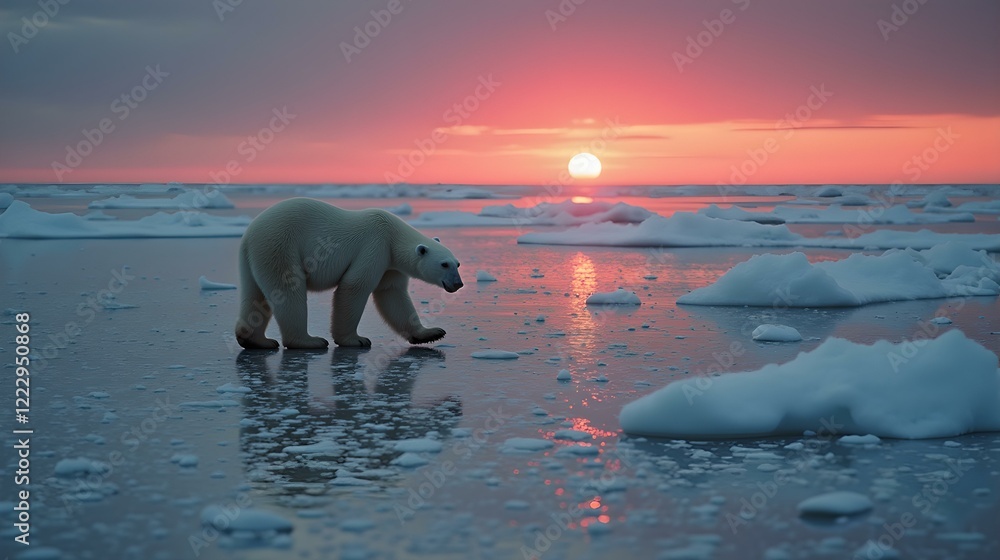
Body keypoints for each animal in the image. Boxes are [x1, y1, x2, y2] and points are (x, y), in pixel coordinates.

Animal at [234, 198, 463, 350]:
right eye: (444, 265)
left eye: (458, 264)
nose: (458, 284)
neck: (393, 234)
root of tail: (249, 233)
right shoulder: (375, 245)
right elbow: (355, 286)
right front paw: (356, 339)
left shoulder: (390, 265)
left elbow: (392, 294)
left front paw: (431, 333)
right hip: (281, 245)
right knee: (288, 290)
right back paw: (309, 340)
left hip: (255, 257)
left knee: (255, 295)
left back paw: (257, 340)